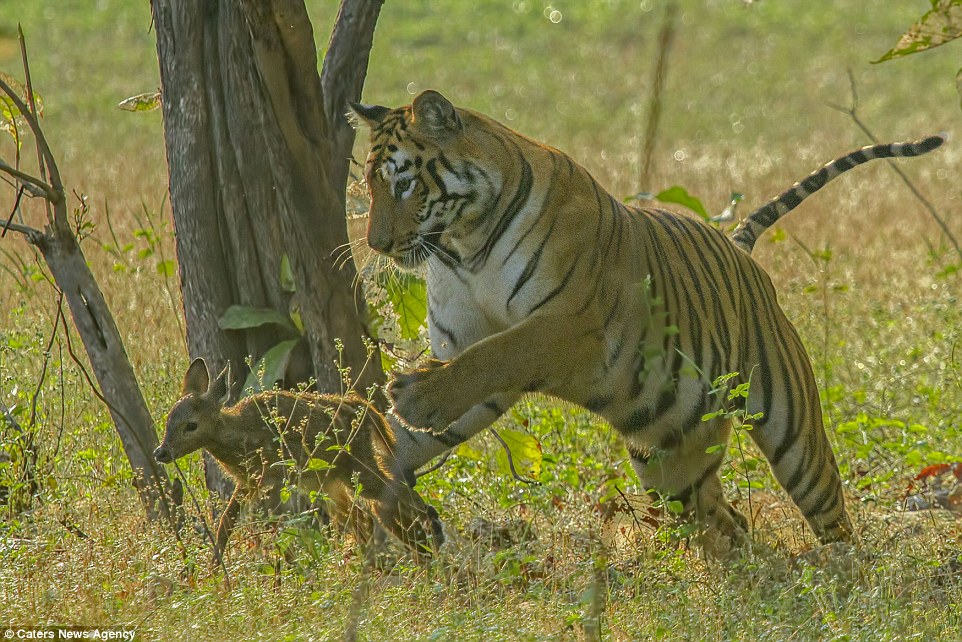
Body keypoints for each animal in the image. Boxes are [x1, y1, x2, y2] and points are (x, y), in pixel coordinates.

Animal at [348, 90, 940, 556]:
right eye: (371, 187)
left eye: (403, 185)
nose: (376, 244)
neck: (465, 244)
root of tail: (738, 243)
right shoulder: (464, 345)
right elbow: (427, 411)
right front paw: (384, 482)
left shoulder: (573, 323)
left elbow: (500, 354)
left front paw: (413, 396)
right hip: (664, 452)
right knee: (721, 517)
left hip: (791, 425)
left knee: (831, 515)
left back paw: (840, 576)